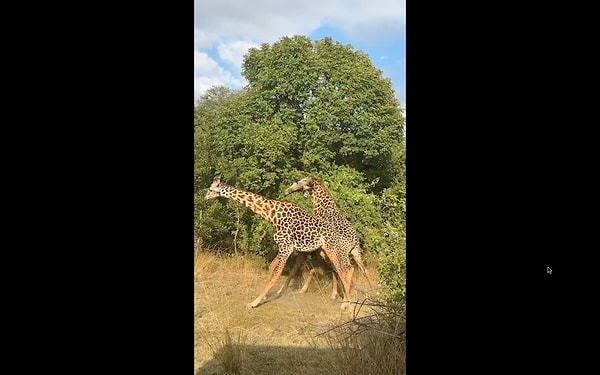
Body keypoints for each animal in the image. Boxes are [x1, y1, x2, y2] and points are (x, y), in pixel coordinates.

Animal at [205, 181, 356, 310]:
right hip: (323, 251)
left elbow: (277, 273)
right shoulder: (283, 247)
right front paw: (265, 296)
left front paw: (254, 302)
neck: (272, 214)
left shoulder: (286, 247)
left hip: (332, 249)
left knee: (344, 269)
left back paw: (346, 304)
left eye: (211, 189)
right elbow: (272, 267)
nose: (206, 197)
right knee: (339, 269)